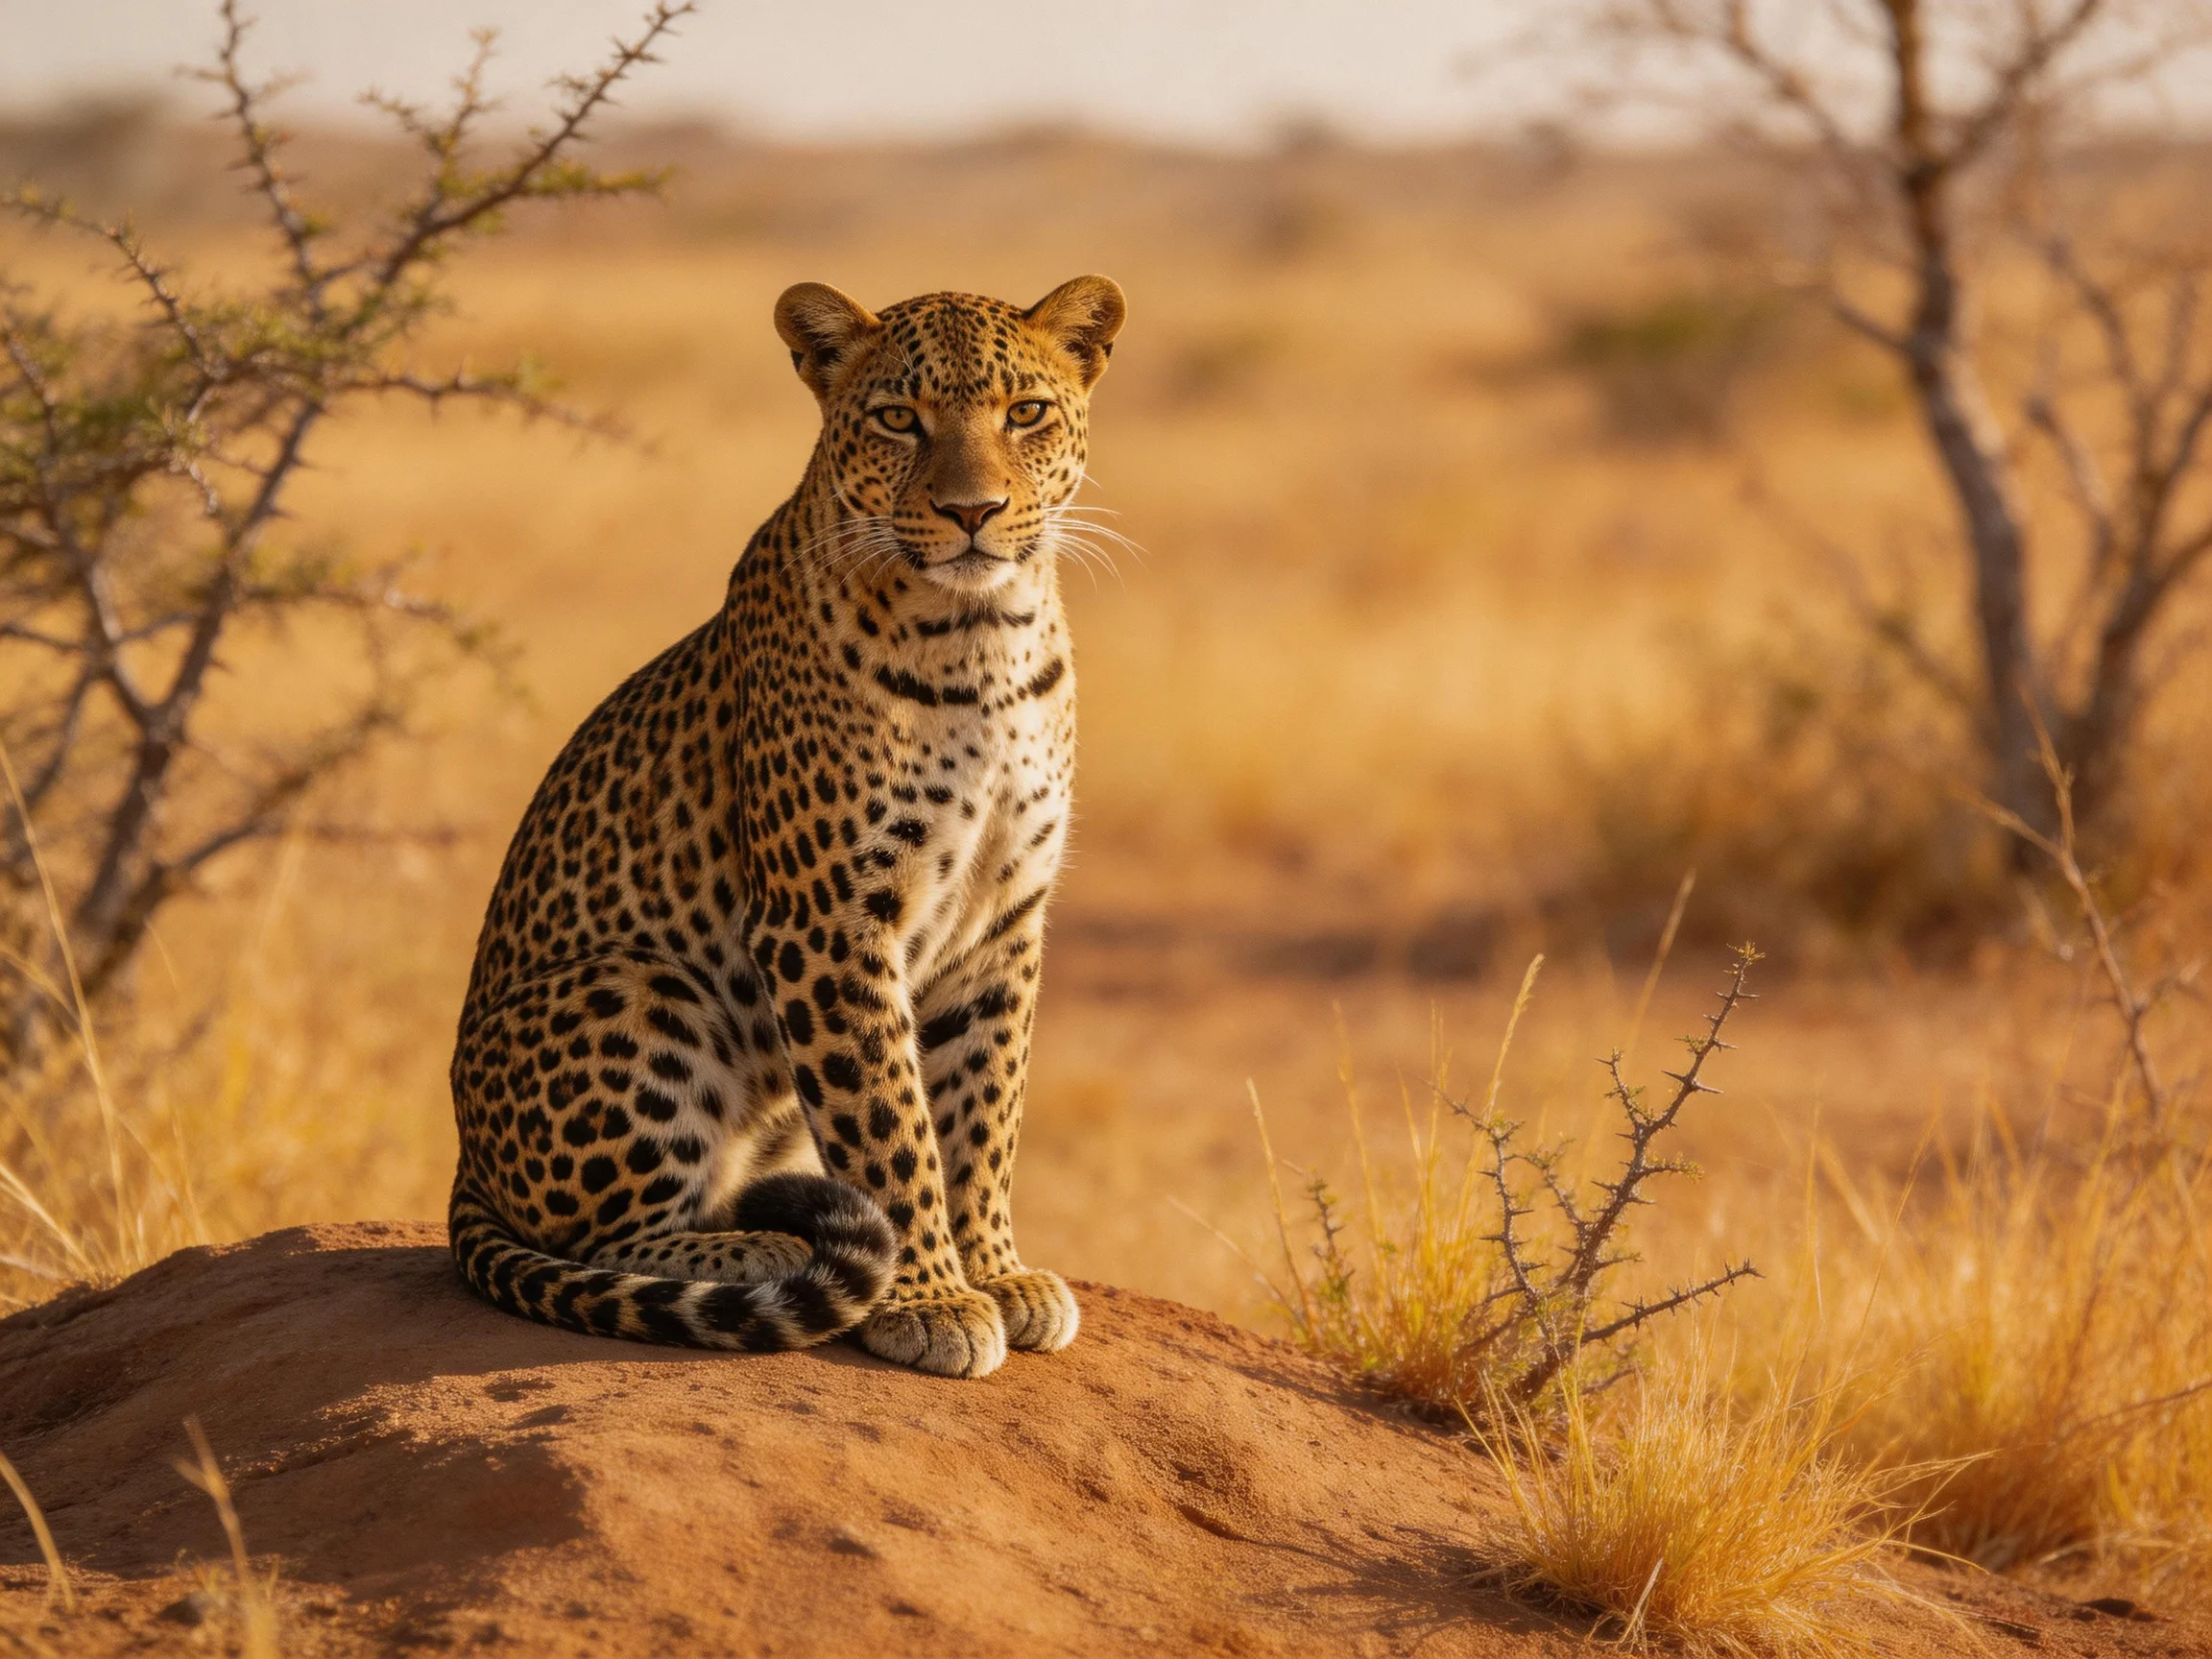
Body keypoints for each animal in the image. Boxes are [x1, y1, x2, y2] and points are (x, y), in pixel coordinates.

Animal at [446, 274, 1126, 1380]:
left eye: (1025, 413)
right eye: (899, 418)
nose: (972, 512)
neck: (982, 636)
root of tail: (462, 1159)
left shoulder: (1004, 918)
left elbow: (985, 1107)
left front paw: (1000, 1270)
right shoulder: (829, 918)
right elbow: (891, 1122)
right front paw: (932, 1298)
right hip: (637, 983)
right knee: (604, 1236)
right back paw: (767, 1246)